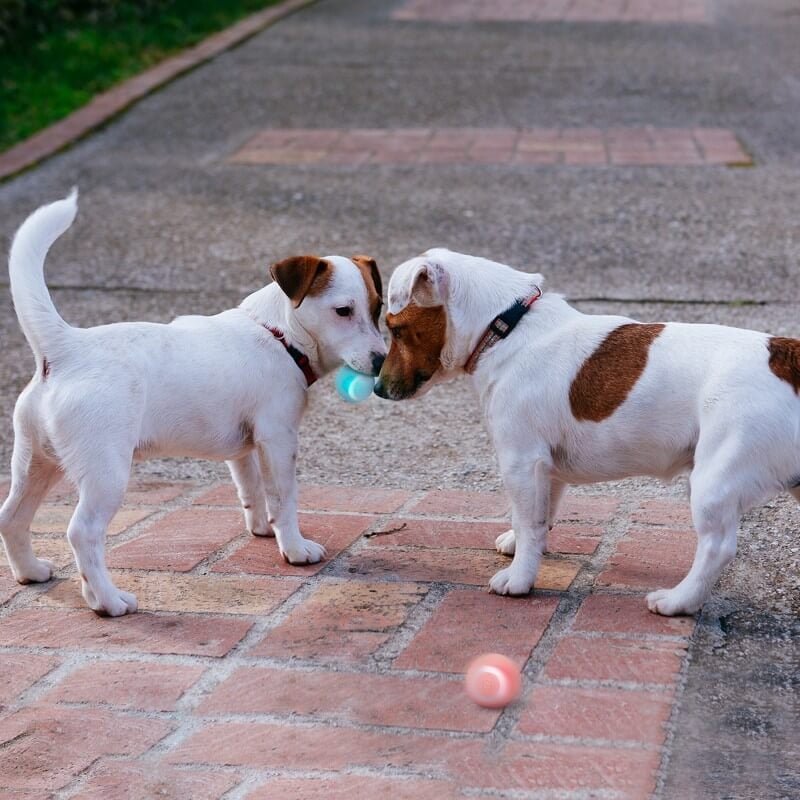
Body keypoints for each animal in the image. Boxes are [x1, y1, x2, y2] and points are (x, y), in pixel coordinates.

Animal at [0, 191, 388, 616]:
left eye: (377, 308)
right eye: (343, 311)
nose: (382, 362)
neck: (278, 334)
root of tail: (66, 347)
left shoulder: (246, 447)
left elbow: (252, 489)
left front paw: (262, 528)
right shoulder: (278, 438)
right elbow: (284, 498)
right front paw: (295, 548)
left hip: (36, 461)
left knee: (11, 517)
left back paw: (30, 571)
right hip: (105, 472)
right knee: (82, 533)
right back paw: (108, 601)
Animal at [376, 247, 800, 616]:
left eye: (396, 330)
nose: (378, 388)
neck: (508, 326)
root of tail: (785, 354)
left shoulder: (520, 461)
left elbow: (528, 521)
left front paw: (520, 578)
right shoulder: (545, 470)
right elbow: (540, 516)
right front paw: (521, 546)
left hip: (713, 481)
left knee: (717, 547)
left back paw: (678, 601)